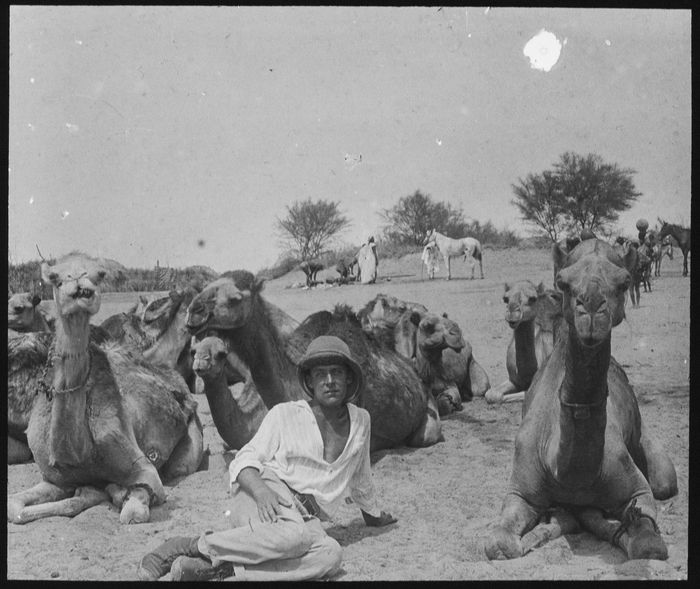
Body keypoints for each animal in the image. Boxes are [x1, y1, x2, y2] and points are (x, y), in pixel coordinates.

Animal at [8, 253, 205, 524]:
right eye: (55, 278)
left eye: (99, 275)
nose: (82, 291)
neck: (78, 452)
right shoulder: (53, 479)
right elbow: (14, 506)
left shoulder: (145, 470)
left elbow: (132, 513)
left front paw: (112, 493)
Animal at [484, 238, 676, 560]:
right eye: (562, 282)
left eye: (624, 282)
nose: (592, 306)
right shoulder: (519, 490)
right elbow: (499, 543)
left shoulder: (639, 492)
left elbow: (648, 543)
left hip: (658, 470)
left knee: (664, 482)